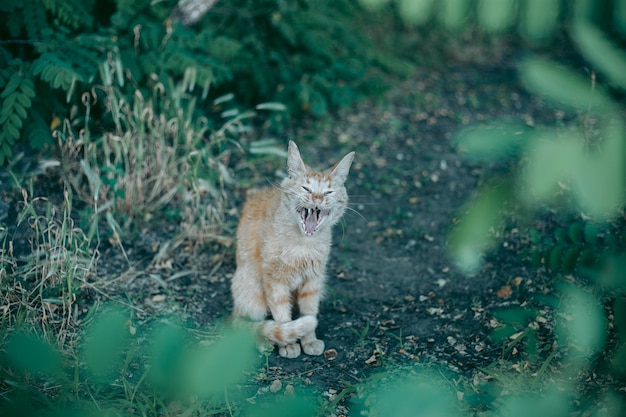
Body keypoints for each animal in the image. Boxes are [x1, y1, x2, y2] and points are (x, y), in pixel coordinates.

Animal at [230, 141, 356, 358]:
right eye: (306, 188)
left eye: (328, 192)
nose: (317, 198)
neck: (303, 244)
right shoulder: (274, 281)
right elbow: (282, 316)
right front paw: (288, 344)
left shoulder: (313, 280)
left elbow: (309, 312)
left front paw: (309, 340)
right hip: (252, 291)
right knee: (249, 325)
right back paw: (264, 342)